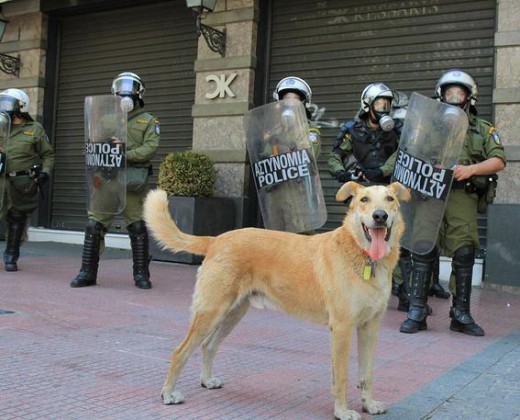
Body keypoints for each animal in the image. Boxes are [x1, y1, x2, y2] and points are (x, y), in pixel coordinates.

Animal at [143, 181, 410, 420]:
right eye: (364, 200)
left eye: (390, 199)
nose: (380, 216)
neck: (364, 257)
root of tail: (216, 239)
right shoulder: (342, 329)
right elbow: (342, 377)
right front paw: (342, 412)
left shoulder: (369, 328)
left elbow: (367, 373)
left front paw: (369, 405)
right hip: (211, 311)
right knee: (180, 351)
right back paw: (168, 394)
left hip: (232, 313)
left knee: (208, 345)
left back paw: (207, 380)